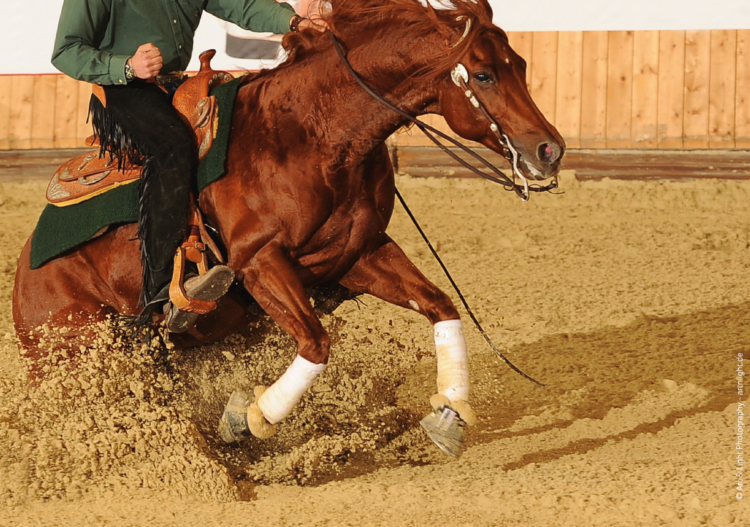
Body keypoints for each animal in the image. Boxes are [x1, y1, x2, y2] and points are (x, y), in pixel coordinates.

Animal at [13, 0, 564, 452]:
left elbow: (441, 305)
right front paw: (246, 418)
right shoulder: (260, 263)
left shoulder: (359, 254)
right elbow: (316, 344)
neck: (310, 133)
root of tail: (25, 273)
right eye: (484, 75)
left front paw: (448, 416)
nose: (550, 150)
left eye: (520, 65)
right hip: (75, 355)